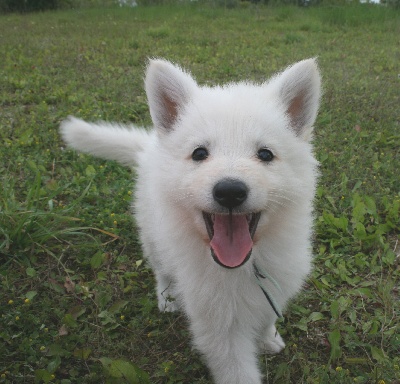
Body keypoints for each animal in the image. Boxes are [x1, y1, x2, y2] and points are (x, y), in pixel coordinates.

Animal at [60, 57, 322, 384]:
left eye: (265, 154)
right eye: (199, 153)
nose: (230, 191)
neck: (243, 265)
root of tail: (149, 144)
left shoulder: (277, 283)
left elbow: (267, 314)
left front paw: (267, 338)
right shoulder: (219, 326)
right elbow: (238, 373)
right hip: (153, 234)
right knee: (161, 269)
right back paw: (168, 298)